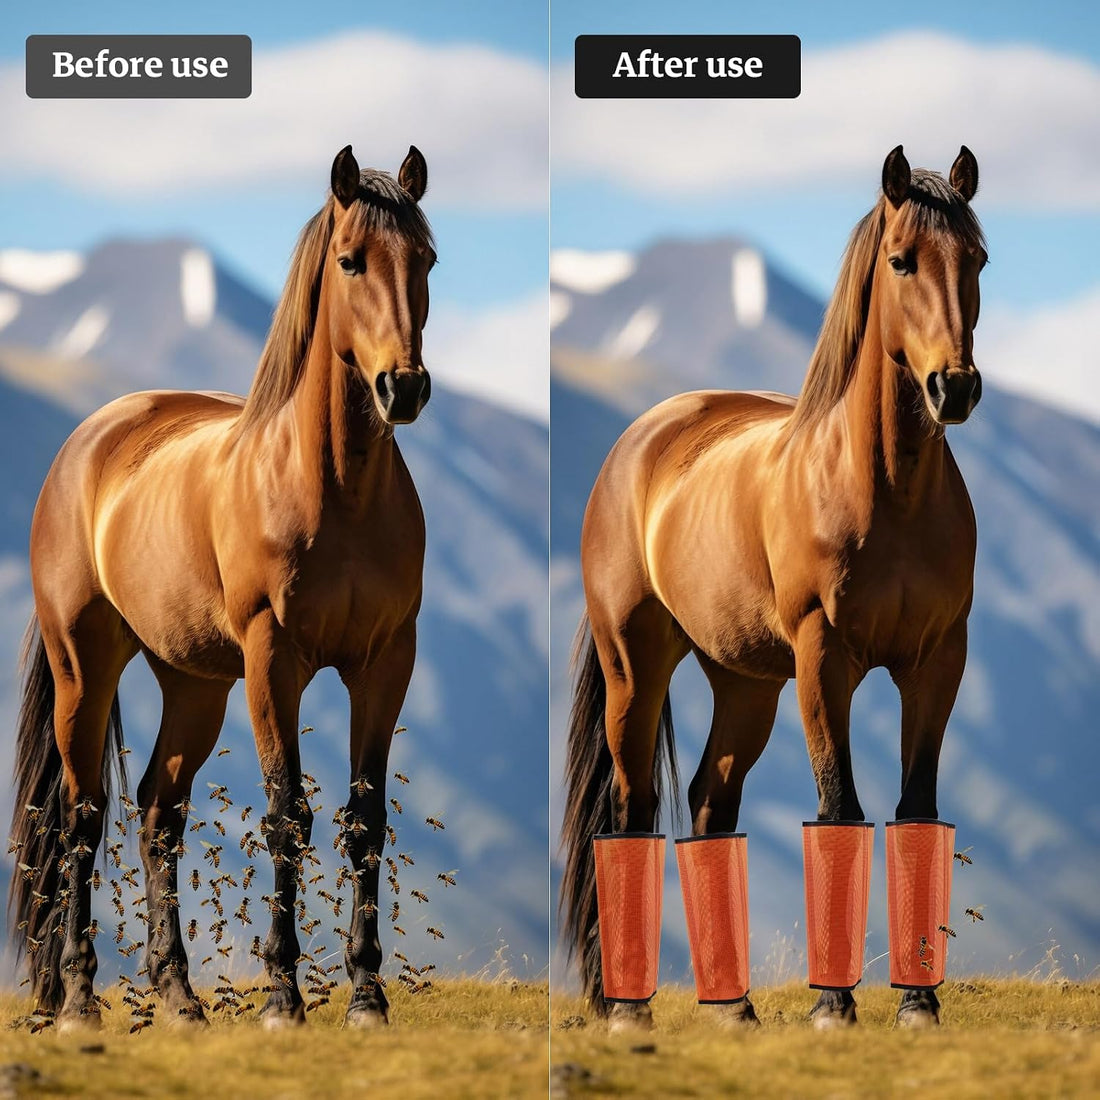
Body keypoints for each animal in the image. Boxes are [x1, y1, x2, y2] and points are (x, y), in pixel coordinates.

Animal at [8, 143, 435, 1031]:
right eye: (351, 260)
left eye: (426, 261)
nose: (403, 389)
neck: (333, 486)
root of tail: (85, 444)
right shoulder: (274, 661)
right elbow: (287, 815)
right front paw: (281, 994)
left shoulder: (386, 662)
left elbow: (365, 820)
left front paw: (366, 993)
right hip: (84, 668)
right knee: (83, 816)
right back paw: (78, 1000)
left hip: (193, 683)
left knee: (157, 813)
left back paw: (177, 994)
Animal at [560, 145, 986, 1029]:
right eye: (902, 260)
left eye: (978, 260)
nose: (954, 389)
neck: (884, 487)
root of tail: (637, 443)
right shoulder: (825, 660)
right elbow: (839, 808)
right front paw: (833, 1006)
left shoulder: (937, 662)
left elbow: (918, 810)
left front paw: (918, 1004)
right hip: (635, 669)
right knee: (633, 808)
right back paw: (628, 1008)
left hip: (745, 682)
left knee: (710, 805)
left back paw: (733, 1007)